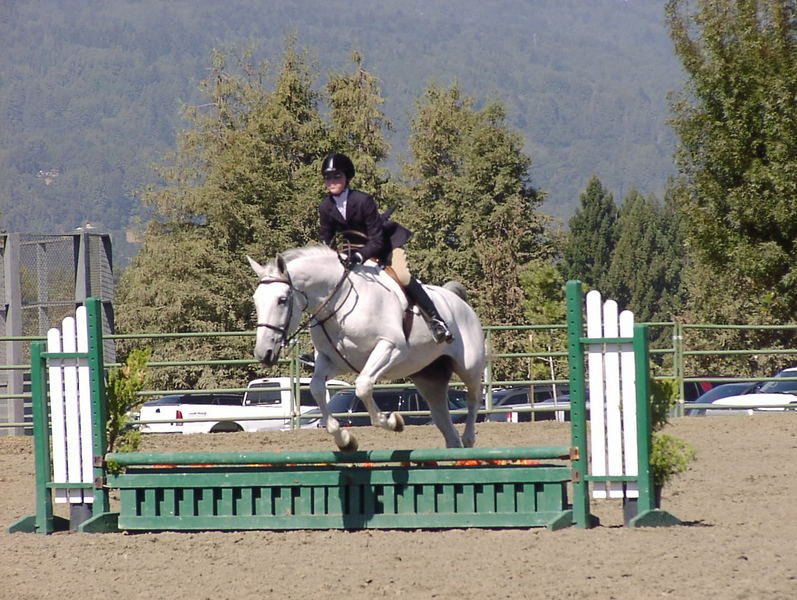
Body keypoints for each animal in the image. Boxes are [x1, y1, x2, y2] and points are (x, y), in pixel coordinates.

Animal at [247, 245, 485, 451]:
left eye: (282, 300)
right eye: (255, 301)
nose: (263, 353)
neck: (340, 302)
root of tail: (460, 303)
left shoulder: (391, 348)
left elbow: (362, 386)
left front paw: (392, 421)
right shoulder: (331, 361)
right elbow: (316, 388)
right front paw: (344, 440)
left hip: (469, 367)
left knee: (474, 398)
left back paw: (469, 438)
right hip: (428, 378)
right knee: (443, 419)